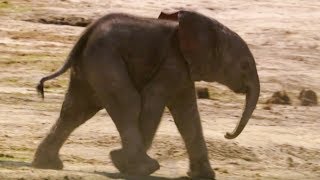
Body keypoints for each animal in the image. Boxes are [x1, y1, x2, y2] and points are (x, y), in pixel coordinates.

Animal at [32, 10, 260, 179]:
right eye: (245, 65)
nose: (227, 134)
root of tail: (87, 32)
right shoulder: (172, 61)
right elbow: (154, 100)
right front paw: (125, 164)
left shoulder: (183, 69)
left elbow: (187, 113)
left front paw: (204, 176)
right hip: (105, 58)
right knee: (128, 102)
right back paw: (143, 167)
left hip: (91, 63)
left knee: (78, 109)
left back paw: (48, 164)